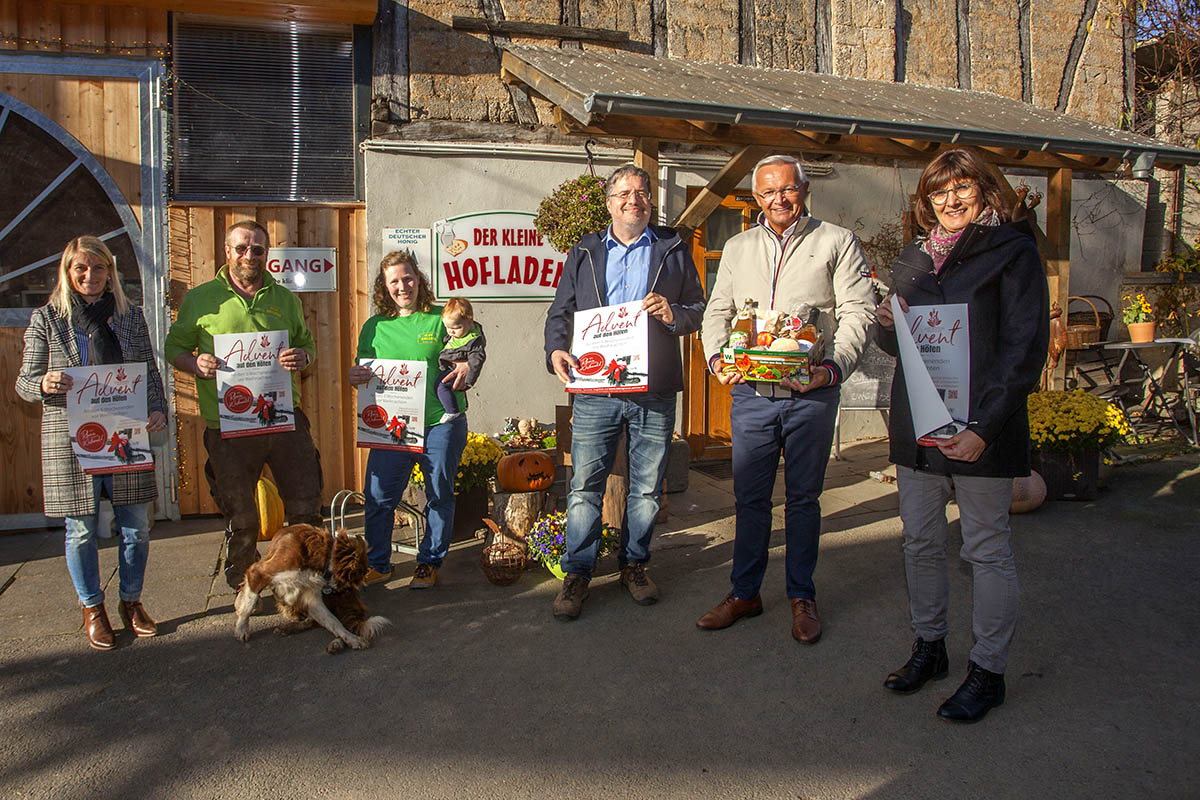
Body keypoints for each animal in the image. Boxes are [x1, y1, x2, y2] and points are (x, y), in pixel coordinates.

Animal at [231, 522, 386, 652]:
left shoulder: (312, 597)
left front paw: (352, 639)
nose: (357, 594)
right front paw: (241, 628)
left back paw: (337, 642)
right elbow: (248, 603)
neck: (324, 558)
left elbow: (333, 621)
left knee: (329, 620)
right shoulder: (258, 573)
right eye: (351, 585)